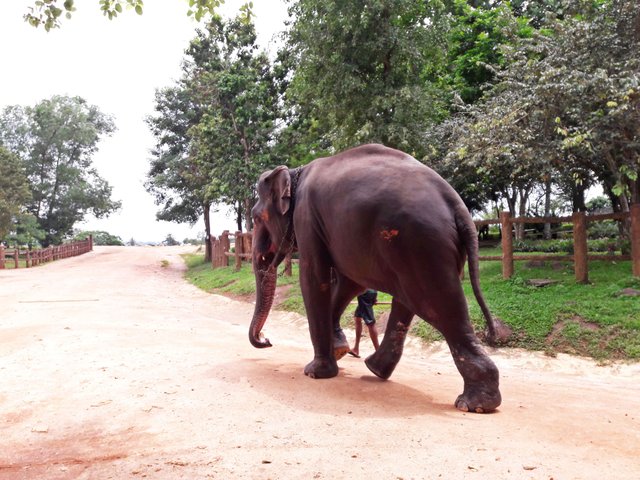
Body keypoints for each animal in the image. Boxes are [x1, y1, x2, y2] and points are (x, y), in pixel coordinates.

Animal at [248, 142, 508, 412]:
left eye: (255, 218)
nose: (266, 340)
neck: (294, 173)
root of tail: (457, 205)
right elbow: (350, 282)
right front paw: (339, 349)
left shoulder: (307, 219)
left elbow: (314, 278)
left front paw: (315, 372)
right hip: (422, 251)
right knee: (409, 303)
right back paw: (377, 369)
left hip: (419, 243)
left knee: (439, 307)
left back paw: (474, 404)